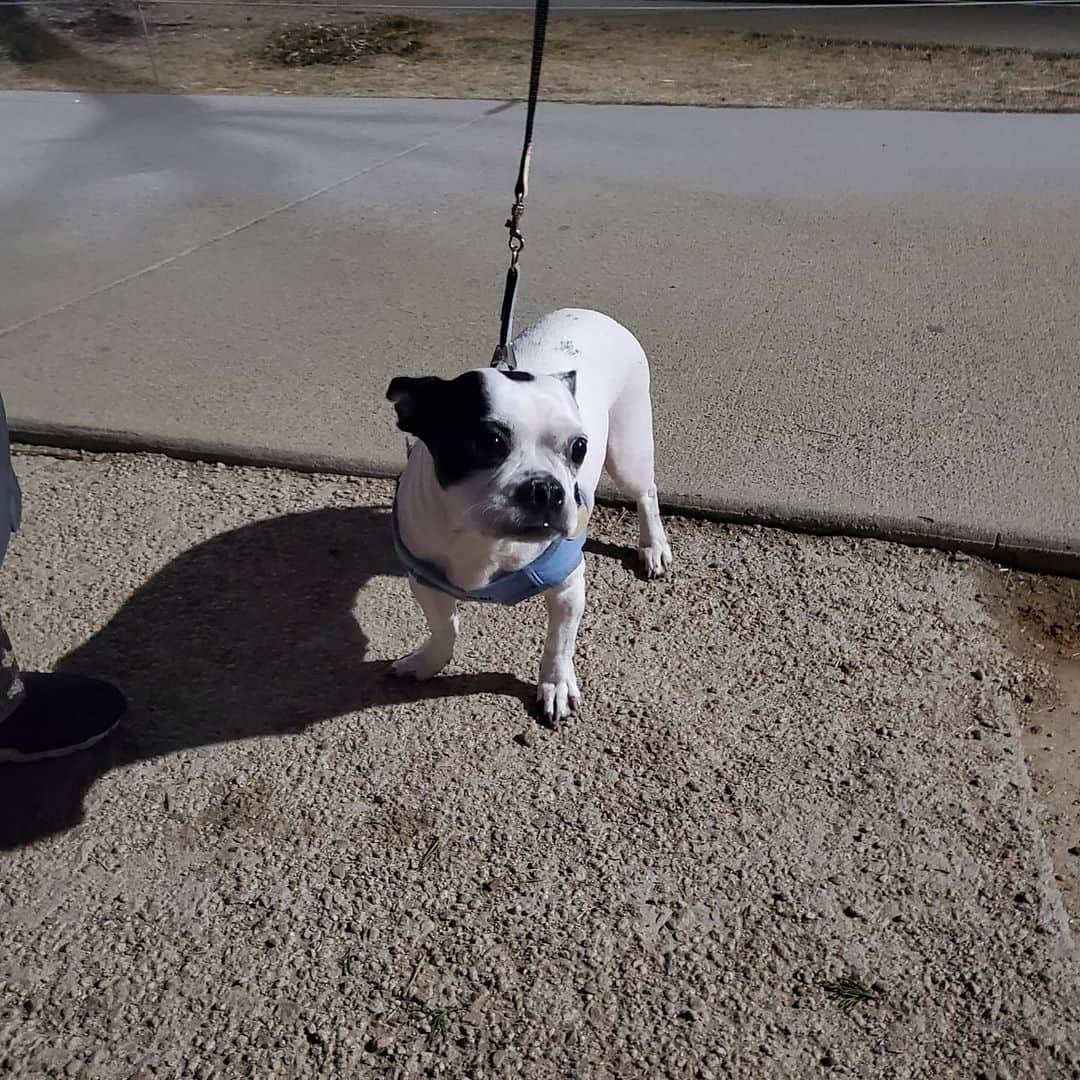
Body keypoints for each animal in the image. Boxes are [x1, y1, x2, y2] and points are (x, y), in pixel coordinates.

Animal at [384, 308, 669, 721]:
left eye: (579, 447)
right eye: (489, 442)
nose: (546, 488)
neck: (483, 540)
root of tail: (589, 312)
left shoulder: (568, 588)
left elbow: (559, 645)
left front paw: (556, 685)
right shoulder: (424, 582)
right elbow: (444, 627)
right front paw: (428, 662)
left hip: (628, 452)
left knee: (646, 493)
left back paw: (654, 545)